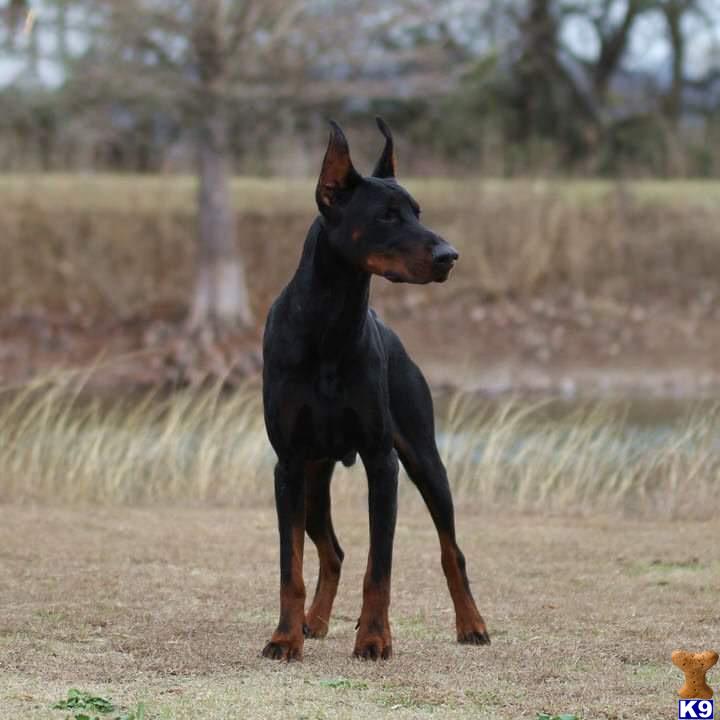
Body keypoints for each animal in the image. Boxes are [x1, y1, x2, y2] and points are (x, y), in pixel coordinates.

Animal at [258, 119, 490, 664]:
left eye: (418, 211)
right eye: (386, 215)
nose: (450, 255)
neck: (329, 327)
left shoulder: (383, 462)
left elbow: (379, 567)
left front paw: (374, 638)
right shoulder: (287, 465)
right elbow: (290, 566)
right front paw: (285, 637)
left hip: (426, 461)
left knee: (452, 551)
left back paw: (471, 624)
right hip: (312, 481)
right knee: (331, 550)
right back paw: (313, 622)